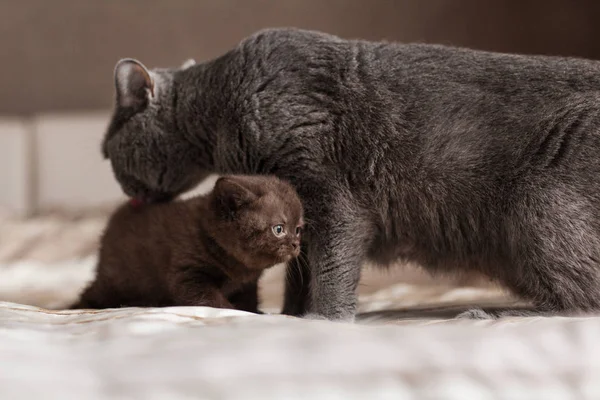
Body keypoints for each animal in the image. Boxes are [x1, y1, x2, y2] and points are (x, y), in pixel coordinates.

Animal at [71, 175, 304, 312]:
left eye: (298, 229)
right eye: (279, 229)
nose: (295, 244)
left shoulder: (248, 284)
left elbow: (250, 300)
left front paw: (254, 312)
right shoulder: (188, 273)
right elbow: (210, 300)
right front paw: (233, 309)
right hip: (117, 279)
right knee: (91, 293)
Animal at [101, 27, 600, 322]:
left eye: (106, 154)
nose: (124, 192)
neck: (222, 106)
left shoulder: (329, 194)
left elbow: (330, 265)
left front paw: (326, 320)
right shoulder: (298, 209)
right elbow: (298, 269)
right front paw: (291, 316)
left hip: (539, 205)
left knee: (582, 302)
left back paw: (491, 314)